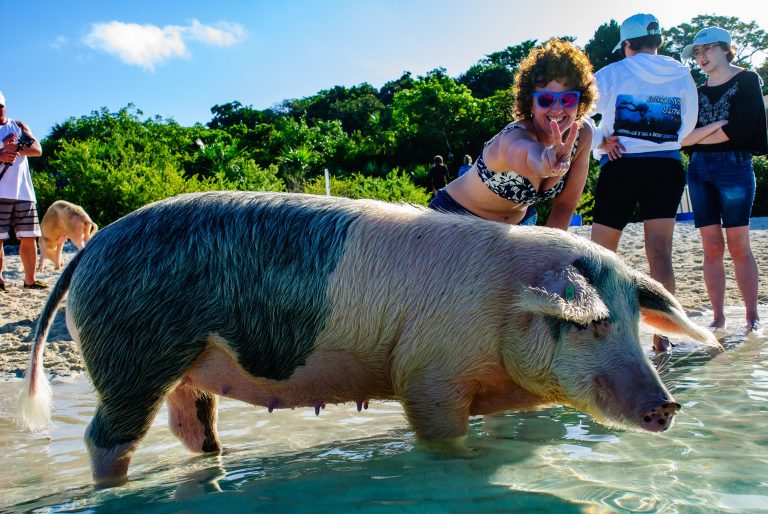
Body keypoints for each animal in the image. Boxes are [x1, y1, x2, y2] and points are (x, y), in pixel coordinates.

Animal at [17, 191, 719, 485]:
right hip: (132, 352)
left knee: (192, 426)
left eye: (632, 321)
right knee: (105, 437)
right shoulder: (427, 372)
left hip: (188, 366)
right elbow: (439, 435)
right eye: (591, 324)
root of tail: (94, 247)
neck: (501, 305)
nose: (667, 406)